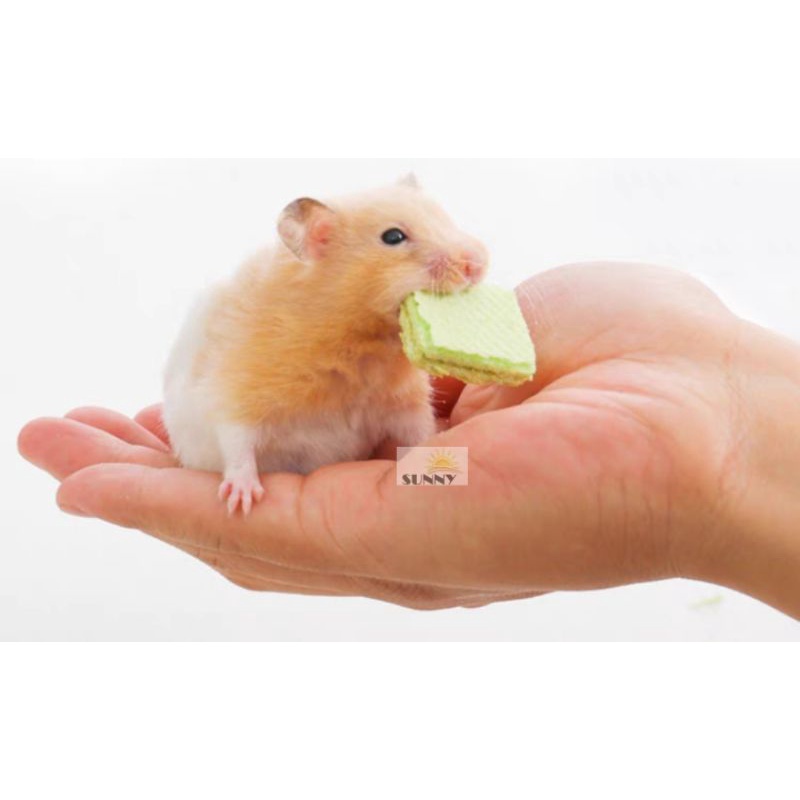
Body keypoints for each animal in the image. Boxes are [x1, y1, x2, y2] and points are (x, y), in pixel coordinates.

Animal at [162, 175, 488, 514]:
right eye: (393, 236)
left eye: (444, 217)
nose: (478, 264)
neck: (358, 342)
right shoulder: (233, 396)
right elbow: (237, 444)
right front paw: (242, 500)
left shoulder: (404, 403)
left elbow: (420, 431)